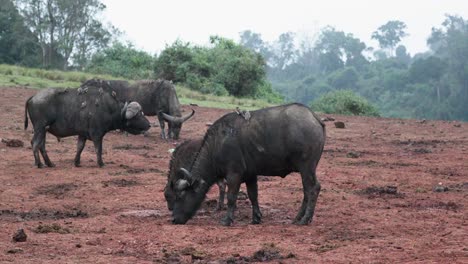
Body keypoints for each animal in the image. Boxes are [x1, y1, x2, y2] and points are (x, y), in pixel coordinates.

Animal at [168, 102, 326, 226]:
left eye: (180, 196)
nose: (174, 219)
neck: (217, 144)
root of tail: (315, 118)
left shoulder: (233, 174)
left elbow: (231, 197)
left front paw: (227, 220)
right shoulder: (251, 175)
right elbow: (253, 195)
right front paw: (256, 218)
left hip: (307, 167)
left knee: (313, 188)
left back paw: (305, 219)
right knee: (306, 190)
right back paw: (298, 217)